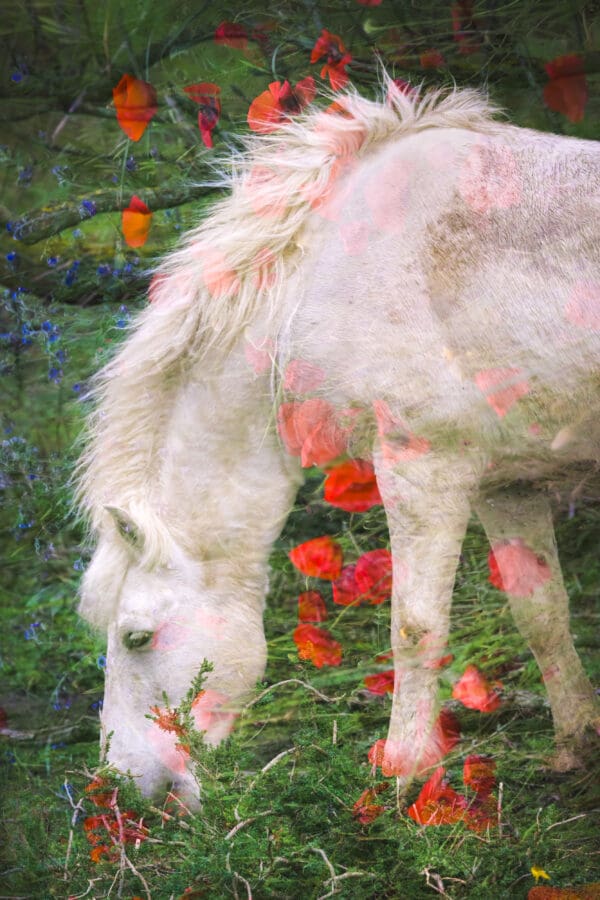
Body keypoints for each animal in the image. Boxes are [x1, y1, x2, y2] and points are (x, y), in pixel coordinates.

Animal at [76, 77, 600, 808]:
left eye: (137, 636)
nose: (122, 788)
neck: (332, 267)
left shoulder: (422, 466)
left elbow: (415, 628)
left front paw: (404, 772)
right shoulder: (508, 483)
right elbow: (542, 612)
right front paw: (578, 741)